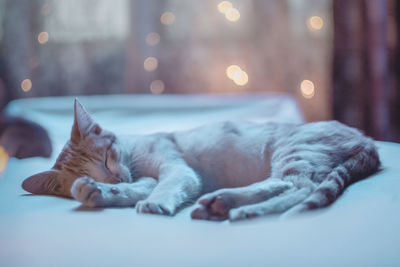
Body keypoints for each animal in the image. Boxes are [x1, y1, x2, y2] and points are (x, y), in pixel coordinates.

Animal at [21, 99, 378, 222]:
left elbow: (163, 187)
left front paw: (154, 203)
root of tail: (368, 140)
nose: (116, 178)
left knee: (297, 187)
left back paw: (234, 207)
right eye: (101, 168)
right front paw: (95, 192)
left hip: (295, 152)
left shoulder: (177, 170)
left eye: (108, 158)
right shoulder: (146, 179)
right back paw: (222, 206)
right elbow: (135, 190)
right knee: (294, 187)